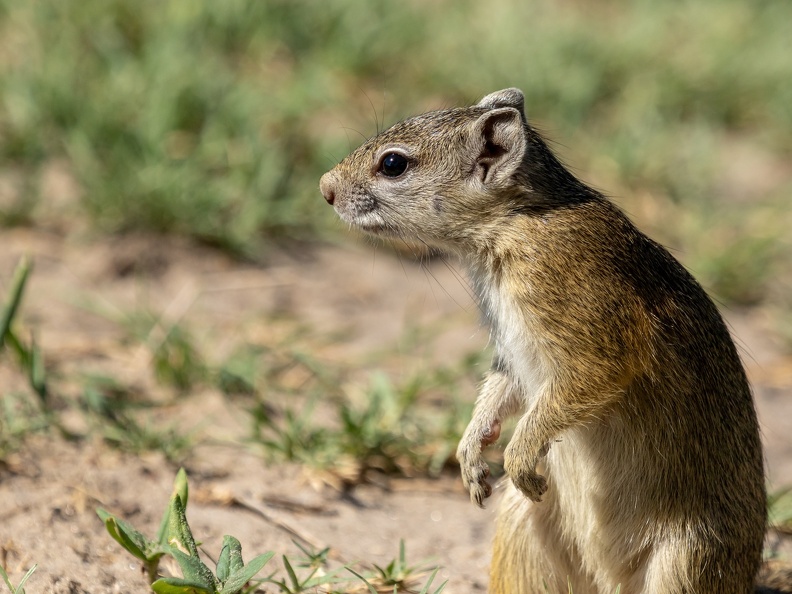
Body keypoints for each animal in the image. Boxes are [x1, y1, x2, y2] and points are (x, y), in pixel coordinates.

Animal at [320, 88, 792, 594]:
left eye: (393, 164)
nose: (325, 187)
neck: (514, 225)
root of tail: (610, 583)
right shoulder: (511, 356)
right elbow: (496, 396)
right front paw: (471, 457)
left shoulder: (597, 343)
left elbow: (565, 397)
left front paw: (517, 456)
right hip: (520, 528)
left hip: (685, 564)